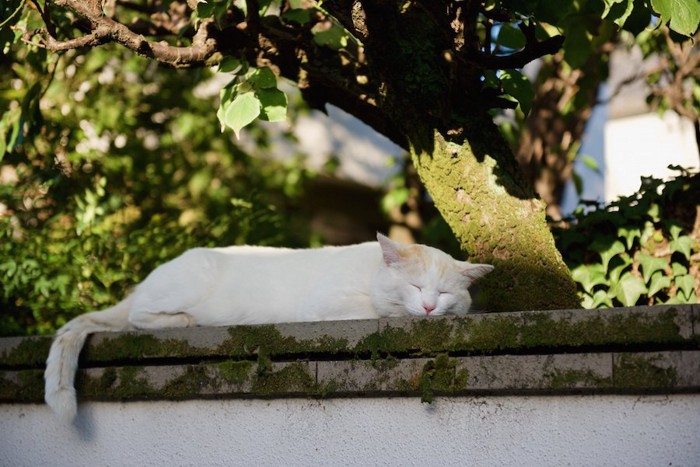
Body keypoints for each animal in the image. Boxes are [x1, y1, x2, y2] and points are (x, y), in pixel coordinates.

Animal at [45, 234, 492, 424]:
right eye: (416, 287)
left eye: (445, 293)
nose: (430, 307)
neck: (370, 273)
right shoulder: (328, 305)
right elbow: (380, 311)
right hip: (183, 285)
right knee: (138, 315)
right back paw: (187, 319)